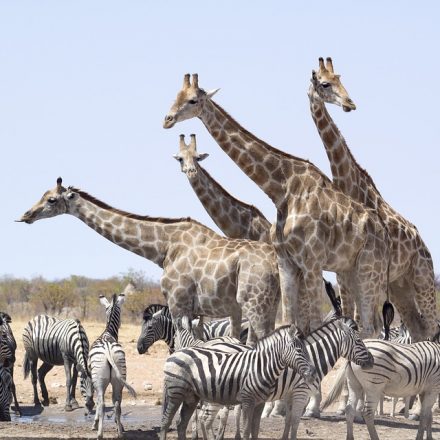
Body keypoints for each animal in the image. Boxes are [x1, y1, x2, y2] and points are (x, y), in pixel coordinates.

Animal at [18, 177, 278, 346]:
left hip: (255, 304)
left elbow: (182, 347)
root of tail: (275, 265)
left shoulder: (177, 304)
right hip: (266, 305)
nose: (25, 215)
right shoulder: (200, 311)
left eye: (51, 200)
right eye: (43, 195)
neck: (163, 248)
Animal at [89, 292, 136, 440]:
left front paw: (94, 424)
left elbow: (98, 402)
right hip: (119, 377)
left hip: (99, 379)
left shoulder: (93, 381)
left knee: (103, 403)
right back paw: (120, 432)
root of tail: (107, 348)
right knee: (117, 404)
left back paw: (100, 434)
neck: (107, 332)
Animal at [160, 324, 314, 440]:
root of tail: (175, 354)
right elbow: (246, 431)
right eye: (299, 351)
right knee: (166, 422)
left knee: (181, 424)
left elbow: (255, 430)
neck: (260, 367)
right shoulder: (247, 400)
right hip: (175, 392)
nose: (312, 372)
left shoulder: (260, 403)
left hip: (191, 397)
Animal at [163, 74, 390, 336]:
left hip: (368, 268)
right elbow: (289, 323)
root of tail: (384, 233)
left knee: (370, 327)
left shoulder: (312, 263)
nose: (167, 119)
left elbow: (314, 324)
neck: (280, 191)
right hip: (349, 269)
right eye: (175, 96)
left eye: (192, 100)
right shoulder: (286, 263)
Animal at [308, 57, 438, 340]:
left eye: (340, 78)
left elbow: (365, 321)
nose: (350, 104)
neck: (348, 183)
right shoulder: (343, 271)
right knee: (418, 325)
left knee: (431, 326)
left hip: (421, 277)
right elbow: (349, 316)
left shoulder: (368, 271)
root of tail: (424, 246)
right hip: (399, 284)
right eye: (324, 83)